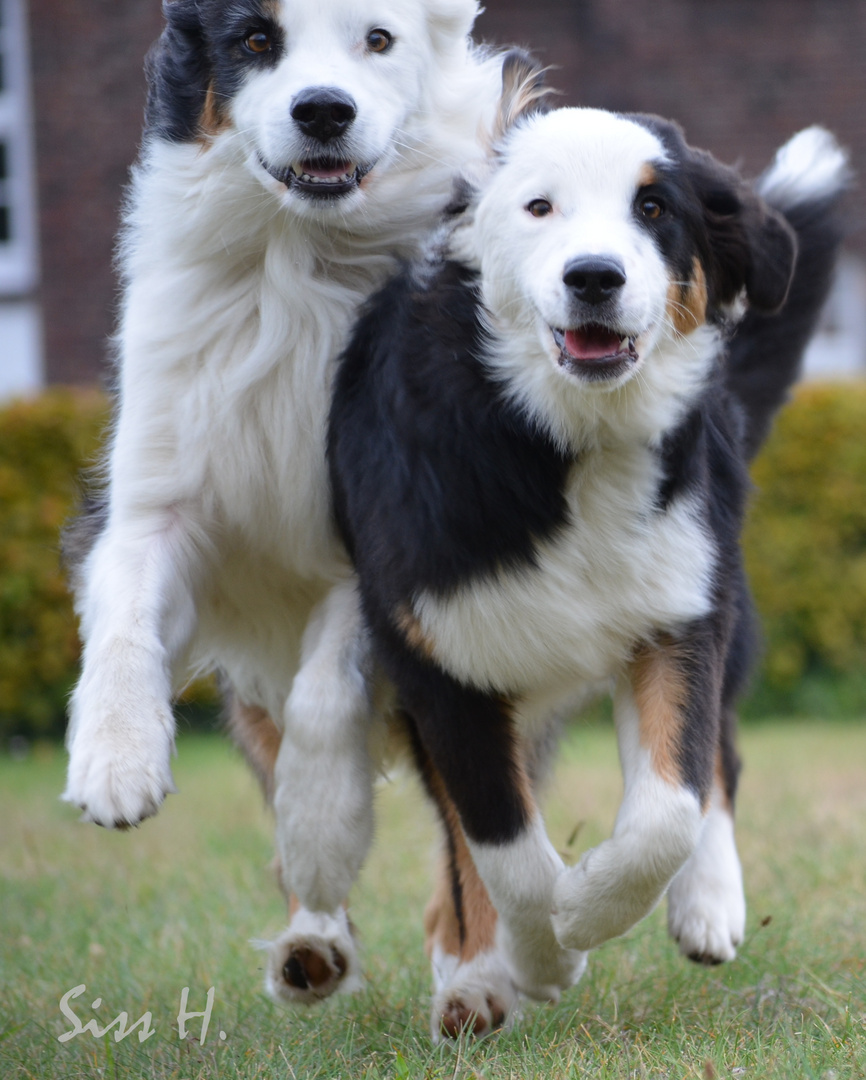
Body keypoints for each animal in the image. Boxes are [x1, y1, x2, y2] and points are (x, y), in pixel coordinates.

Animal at [326, 63, 842, 1032]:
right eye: (539, 207)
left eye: (655, 208)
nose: (595, 276)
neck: (568, 444)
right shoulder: (436, 657)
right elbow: (501, 842)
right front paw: (542, 955)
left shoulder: (677, 610)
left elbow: (668, 803)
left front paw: (594, 906)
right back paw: (473, 975)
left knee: (717, 758)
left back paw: (707, 902)